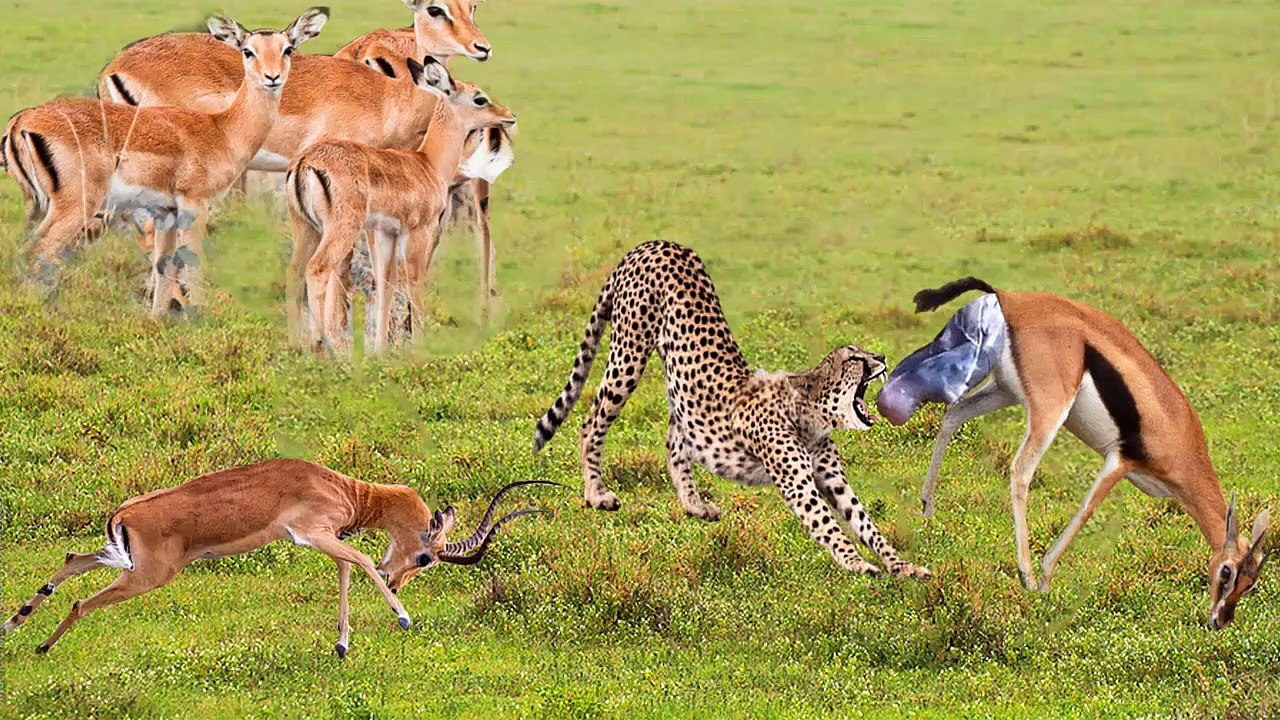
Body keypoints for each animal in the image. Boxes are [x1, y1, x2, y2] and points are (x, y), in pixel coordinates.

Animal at [0, 459, 556, 658]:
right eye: (425, 557)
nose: (398, 584)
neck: (339, 487)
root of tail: (126, 511)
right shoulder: (313, 533)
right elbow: (359, 558)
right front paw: (401, 618)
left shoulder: (320, 539)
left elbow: (347, 566)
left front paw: (342, 644)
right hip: (148, 577)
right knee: (80, 603)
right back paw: (41, 647)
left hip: (124, 562)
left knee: (72, 558)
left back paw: (17, 623)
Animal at [3, 9, 328, 312]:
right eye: (248, 50)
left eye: (288, 49)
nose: (272, 77)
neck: (221, 129)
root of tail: (22, 120)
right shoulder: (194, 203)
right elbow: (193, 260)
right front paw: (199, 316)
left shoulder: (166, 212)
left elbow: (164, 263)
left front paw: (158, 316)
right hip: (76, 207)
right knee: (38, 251)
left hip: (42, 206)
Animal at [285, 57, 516, 353]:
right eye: (479, 98)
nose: (508, 116)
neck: (428, 163)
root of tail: (306, 162)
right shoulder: (418, 232)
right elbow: (415, 280)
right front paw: (418, 345)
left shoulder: (387, 234)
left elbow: (385, 283)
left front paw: (380, 350)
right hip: (340, 230)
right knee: (318, 269)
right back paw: (328, 346)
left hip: (306, 228)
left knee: (295, 272)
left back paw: (302, 346)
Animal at [532, 240, 931, 578]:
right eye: (854, 358)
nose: (881, 358)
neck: (812, 415)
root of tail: (653, 243)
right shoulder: (798, 484)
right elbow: (829, 525)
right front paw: (857, 563)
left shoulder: (832, 479)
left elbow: (865, 523)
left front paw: (904, 566)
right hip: (629, 352)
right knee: (591, 424)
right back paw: (596, 495)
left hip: (678, 387)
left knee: (674, 437)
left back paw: (693, 504)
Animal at [876, 277, 1271, 628]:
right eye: (1226, 571)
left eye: (1251, 584)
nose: (1220, 620)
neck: (1179, 435)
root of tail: (1006, 297)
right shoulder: (1119, 461)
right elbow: (1086, 510)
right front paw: (1045, 579)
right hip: (1049, 410)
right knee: (1020, 470)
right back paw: (1025, 574)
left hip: (1004, 391)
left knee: (953, 414)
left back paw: (927, 510)